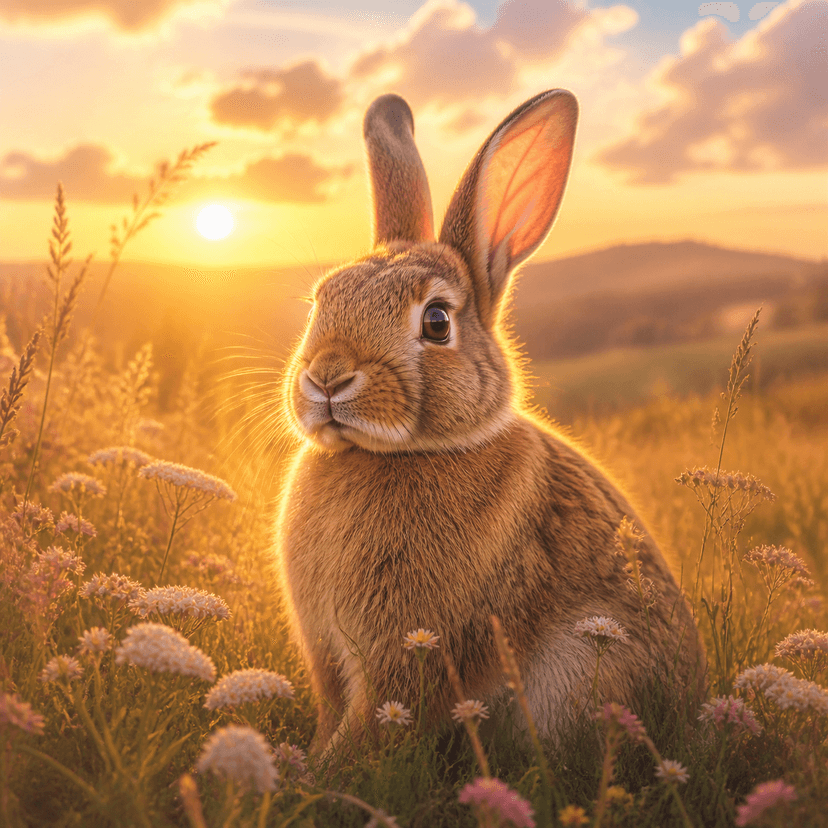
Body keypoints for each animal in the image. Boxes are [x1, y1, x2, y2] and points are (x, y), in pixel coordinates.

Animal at [275, 89, 706, 756]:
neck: (400, 453)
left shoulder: (408, 650)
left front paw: (320, 774)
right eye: (322, 300)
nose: (326, 378)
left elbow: (372, 724)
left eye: (436, 322)